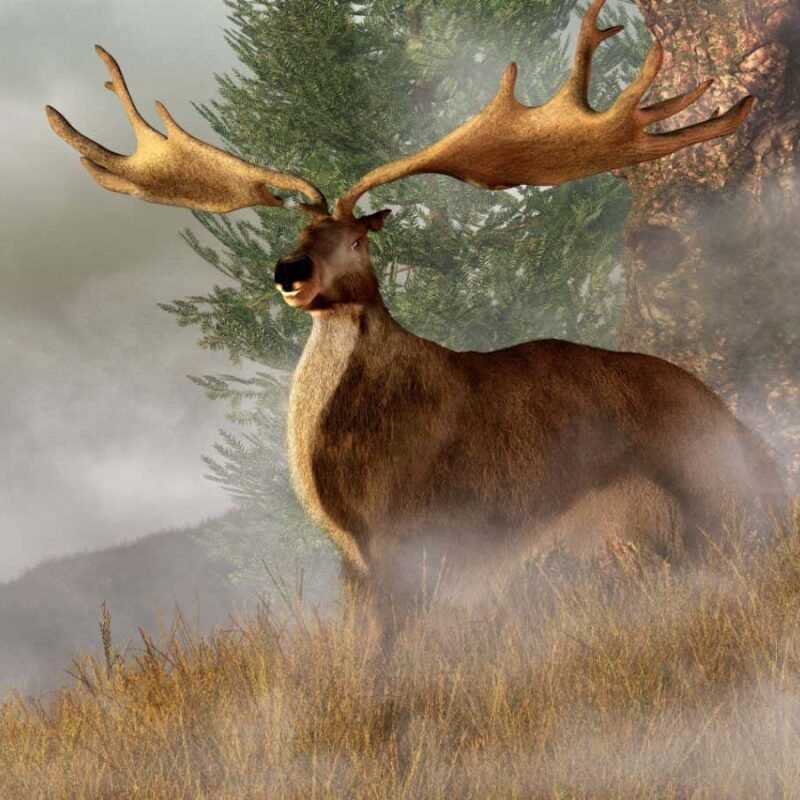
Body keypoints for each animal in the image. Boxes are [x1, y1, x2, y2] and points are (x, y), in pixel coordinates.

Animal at [47, 0, 785, 648]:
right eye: (298, 232)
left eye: (355, 240)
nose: (288, 270)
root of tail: (745, 434)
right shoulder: (356, 557)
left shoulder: (411, 533)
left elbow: (392, 649)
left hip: (664, 512)